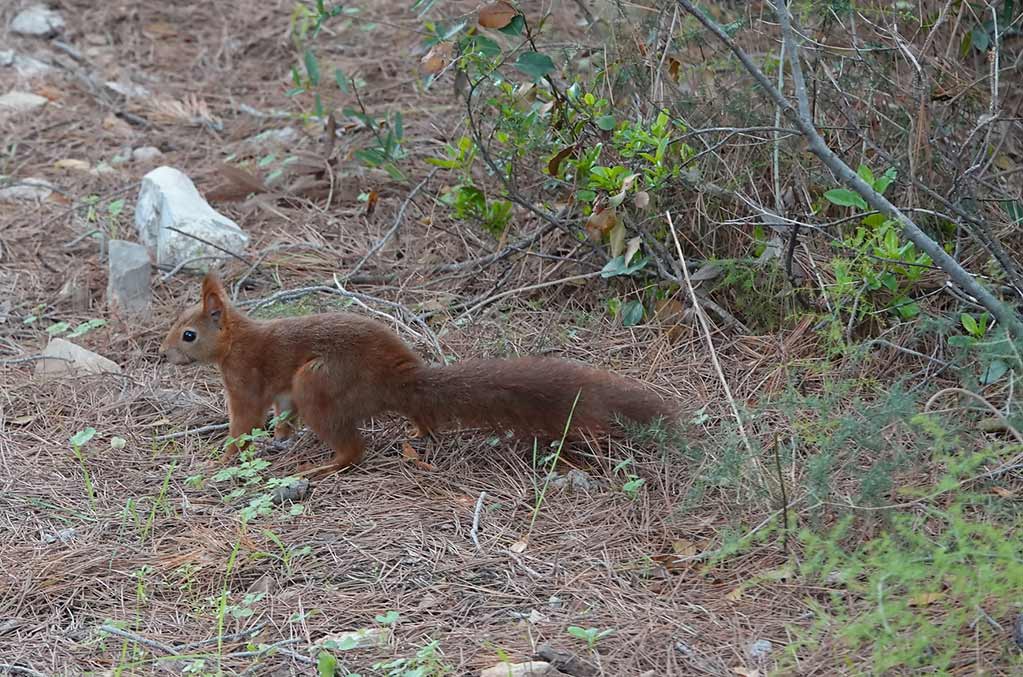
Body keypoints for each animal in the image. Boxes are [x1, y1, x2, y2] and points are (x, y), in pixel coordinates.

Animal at [159, 274, 675, 474]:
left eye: (188, 334)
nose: (162, 353)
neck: (237, 341)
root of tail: (397, 376)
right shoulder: (281, 394)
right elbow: (281, 415)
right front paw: (280, 438)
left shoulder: (246, 382)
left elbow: (245, 420)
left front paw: (225, 456)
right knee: (420, 416)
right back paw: (418, 432)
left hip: (318, 381)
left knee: (354, 449)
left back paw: (326, 466)